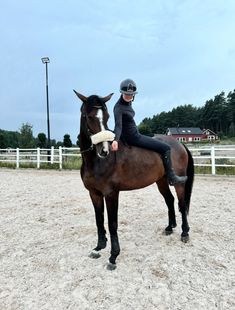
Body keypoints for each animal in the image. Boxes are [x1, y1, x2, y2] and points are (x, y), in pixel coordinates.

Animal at [74, 89, 195, 268]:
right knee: (170, 200)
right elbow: (99, 219)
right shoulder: (94, 193)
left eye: (107, 116)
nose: (104, 150)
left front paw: (113, 256)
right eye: (88, 116)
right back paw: (169, 227)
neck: (95, 161)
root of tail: (179, 144)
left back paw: (184, 233)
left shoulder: (111, 194)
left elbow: (112, 223)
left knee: (181, 204)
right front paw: (99, 247)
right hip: (161, 181)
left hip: (178, 184)